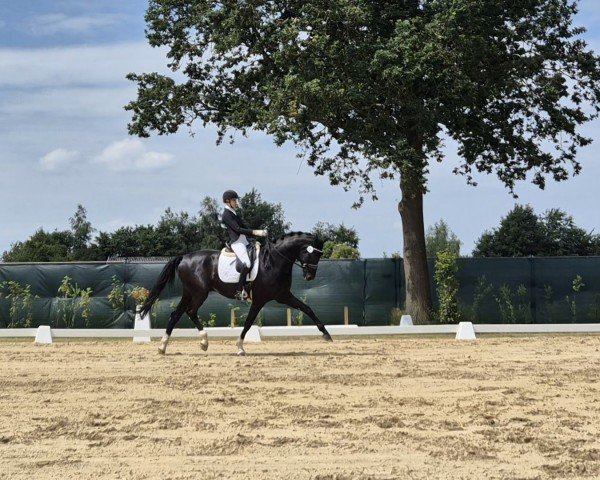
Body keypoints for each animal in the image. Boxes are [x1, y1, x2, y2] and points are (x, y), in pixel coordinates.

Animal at [140, 232, 332, 356]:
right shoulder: (260, 300)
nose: (310, 276)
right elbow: (248, 322)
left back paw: (164, 347)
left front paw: (326, 335)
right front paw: (240, 347)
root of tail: (184, 257)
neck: (273, 262)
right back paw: (203, 342)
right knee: (190, 312)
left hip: (189, 292)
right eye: (313, 254)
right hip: (199, 293)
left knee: (176, 314)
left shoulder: (283, 295)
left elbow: (307, 309)